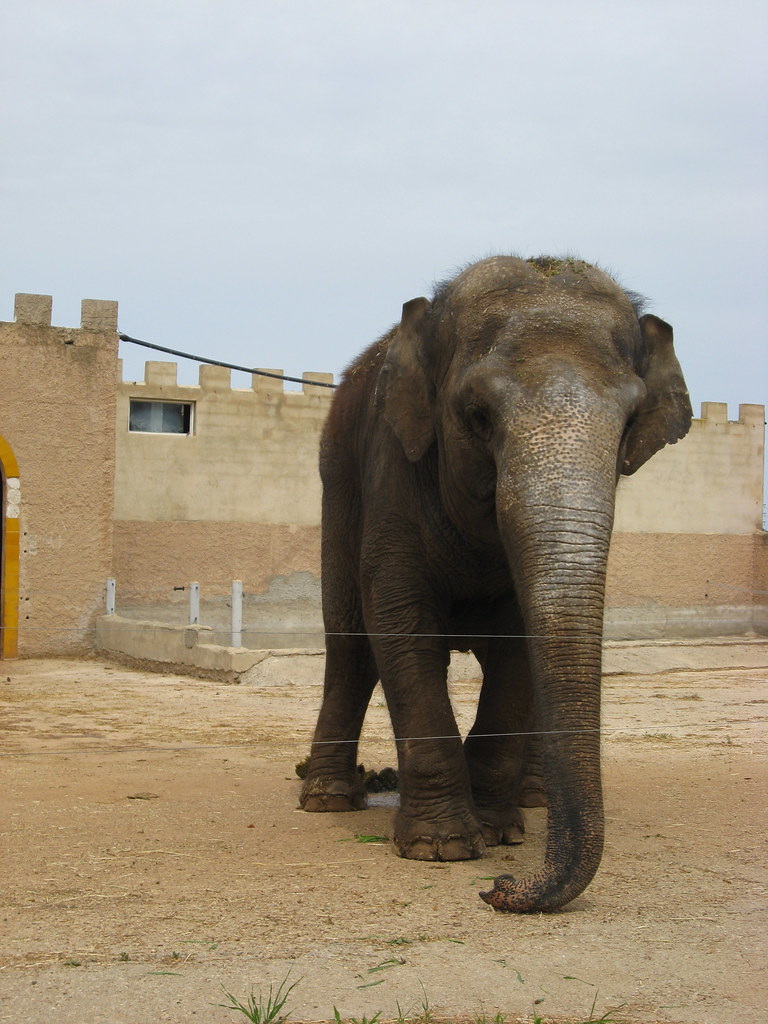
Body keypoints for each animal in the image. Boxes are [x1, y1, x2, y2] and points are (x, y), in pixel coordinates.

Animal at [300, 255, 691, 913]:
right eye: (478, 416)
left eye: (630, 423)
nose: (499, 891)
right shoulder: (391, 468)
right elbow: (399, 620)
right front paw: (444, 848)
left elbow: (518, 641)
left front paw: (498, 834)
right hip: (338, 487)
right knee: (350, 648)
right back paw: (327, 800)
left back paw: (533, 801)